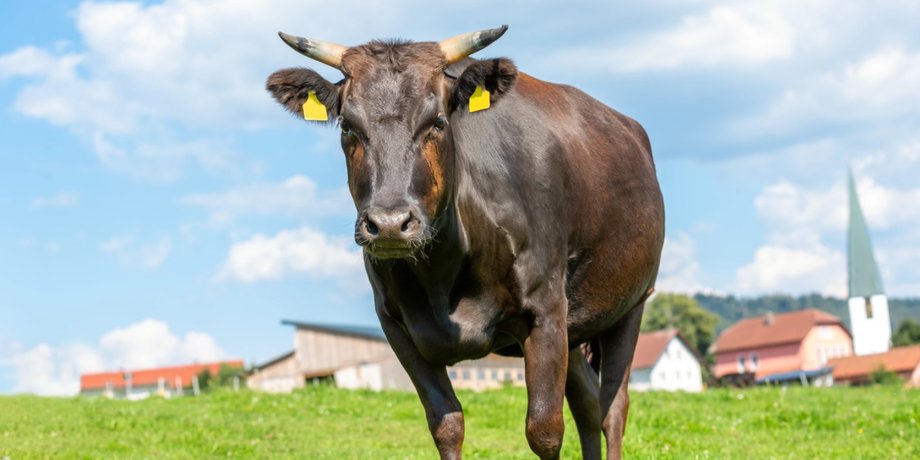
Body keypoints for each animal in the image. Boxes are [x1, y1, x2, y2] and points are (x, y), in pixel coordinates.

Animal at [266, 25, 664, 460]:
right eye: (347, 127)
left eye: (438, 121)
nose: (389, 224)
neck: (442, 280)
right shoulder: (395, 325)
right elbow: (446, 424)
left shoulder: (545, 309)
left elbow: (544, 429)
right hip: (574, 328)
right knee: (588, 404)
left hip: (631, 304)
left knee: (613, 407)